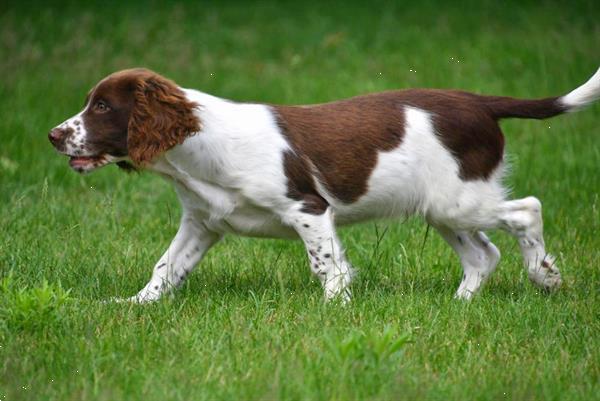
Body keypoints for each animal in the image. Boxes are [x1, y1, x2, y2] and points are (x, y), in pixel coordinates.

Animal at [48, 67, 600, 302]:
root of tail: (479, 102)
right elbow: (166, 266)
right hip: (442, 207)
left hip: (459, 200)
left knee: (527, 210)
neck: (196, 147)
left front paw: (335, 309)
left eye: (102, 107)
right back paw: (460, 305)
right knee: (483, 254)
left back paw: (545, 278)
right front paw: (135, 306)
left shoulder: (307, 208)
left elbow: (325, 265)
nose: (53, 136)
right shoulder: (203, 222)